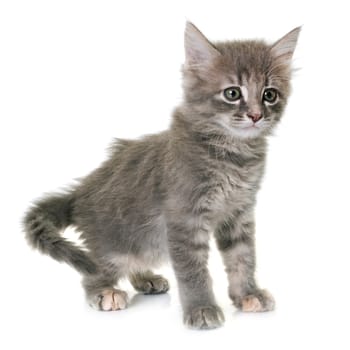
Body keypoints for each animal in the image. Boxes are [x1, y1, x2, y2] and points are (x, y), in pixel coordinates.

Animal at [23, 23, 300, 330]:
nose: (255, 115)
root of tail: (81, 189)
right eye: (232, 93)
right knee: (94, 270)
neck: (233, 156)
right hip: (113, 244)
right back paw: (105, 291)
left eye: (269, 95)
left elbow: (243, 257)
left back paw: (145, 278)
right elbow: (193, 270)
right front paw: (201, 308)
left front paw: (248, 294)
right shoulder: (184, 217)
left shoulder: (239, 213)